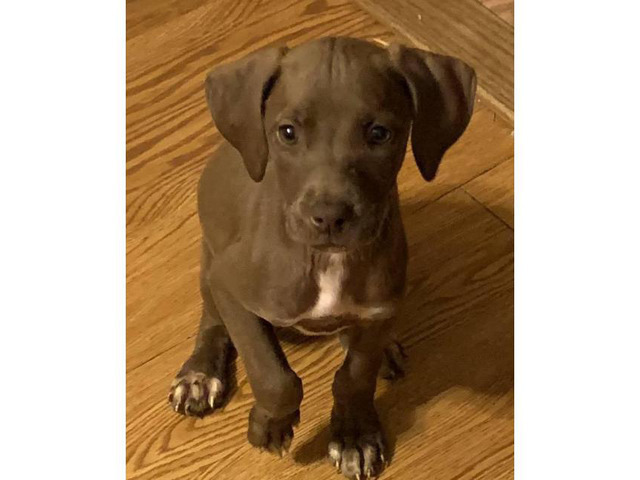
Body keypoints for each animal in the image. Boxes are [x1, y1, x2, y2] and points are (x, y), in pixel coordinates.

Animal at [166, 35, 476, 478]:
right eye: (287, 132)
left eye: (379, 133)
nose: (330, 216)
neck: (326, 261)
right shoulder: (231, 287)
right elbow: (272, 374)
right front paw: (271, 424)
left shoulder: (381, 307)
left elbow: (355, 376)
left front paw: (354, 437)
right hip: (210, 263)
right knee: (211, 319)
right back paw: (199, 374)